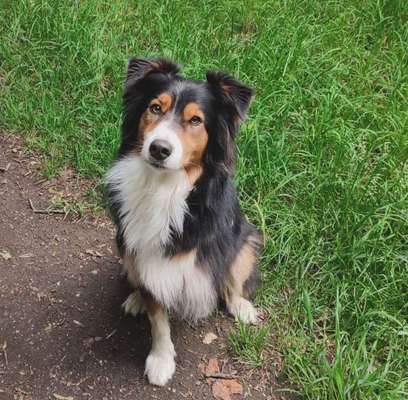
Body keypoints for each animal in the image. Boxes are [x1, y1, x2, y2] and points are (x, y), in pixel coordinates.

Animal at [105, 57, 262, 386]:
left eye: (196, 121)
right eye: (155, 108)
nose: (159, 149)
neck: (165, 186)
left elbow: (226, 278)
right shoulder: (144, 253)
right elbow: (158, 318)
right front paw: (161, 360)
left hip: (246, 240)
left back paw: (241, 306)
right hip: (123, 249)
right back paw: (136, 299)